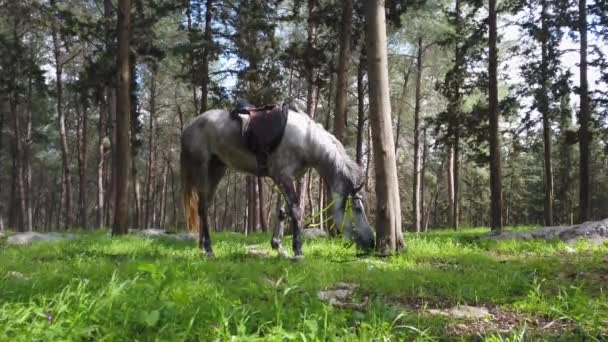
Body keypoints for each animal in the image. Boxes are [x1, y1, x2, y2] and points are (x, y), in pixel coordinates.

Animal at [179, 105, 376, 258]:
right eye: (357, 209)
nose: (372, 242)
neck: (306, 139)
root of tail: (190, 126)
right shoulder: (284, 177)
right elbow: (295, 209)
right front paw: (297, 250)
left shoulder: (286, 178)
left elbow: (283, 211)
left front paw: (278, 245)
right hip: (202, 168)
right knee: (202, 207)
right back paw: (209, 249)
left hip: (218, 169)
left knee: (204, 206)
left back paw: (202, 247)